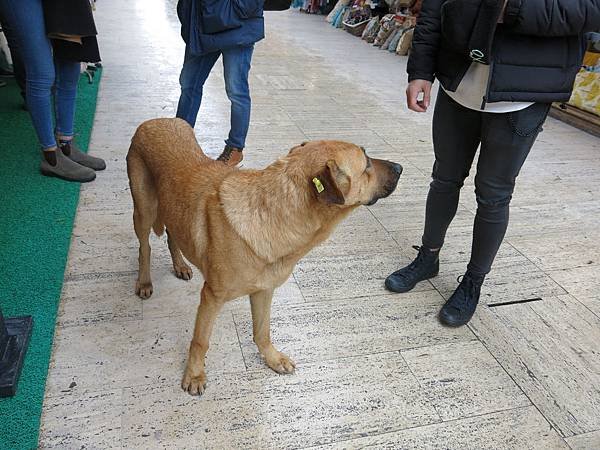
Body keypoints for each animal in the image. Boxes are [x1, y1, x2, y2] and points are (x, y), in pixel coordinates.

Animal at [126, 118, 404, 396]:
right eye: (366, 164)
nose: (401, 167)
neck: (272, 211)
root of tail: (155, 121)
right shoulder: (211, 298)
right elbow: (200, 341)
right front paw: (194, 374)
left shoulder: (264, 290)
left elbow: (262, 332)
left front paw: (272, 358)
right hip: (144, 211)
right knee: (144, 248)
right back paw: (144, 281)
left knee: (173, 235)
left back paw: (180, 264)